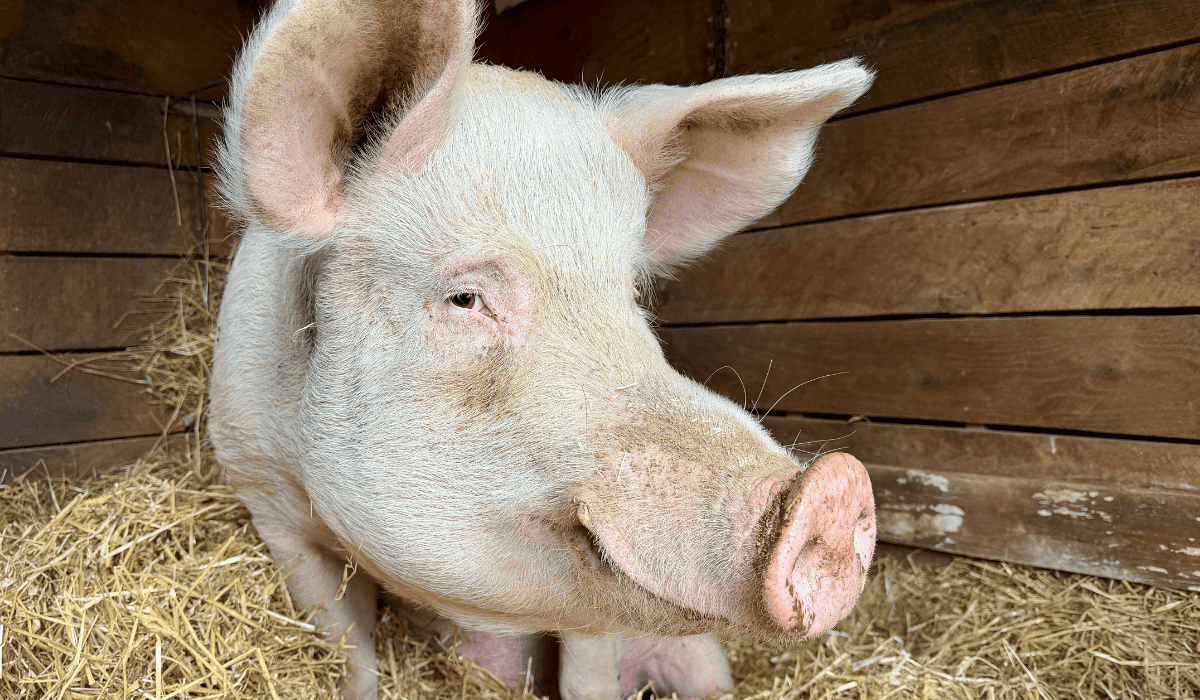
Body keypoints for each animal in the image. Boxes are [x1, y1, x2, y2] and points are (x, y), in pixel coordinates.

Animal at [207, 0, 877, 698]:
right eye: (466, 298)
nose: (835, 486)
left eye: (631, 293)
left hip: (701, 657)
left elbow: (587, 676)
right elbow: (347, 649)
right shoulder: (262, 491)